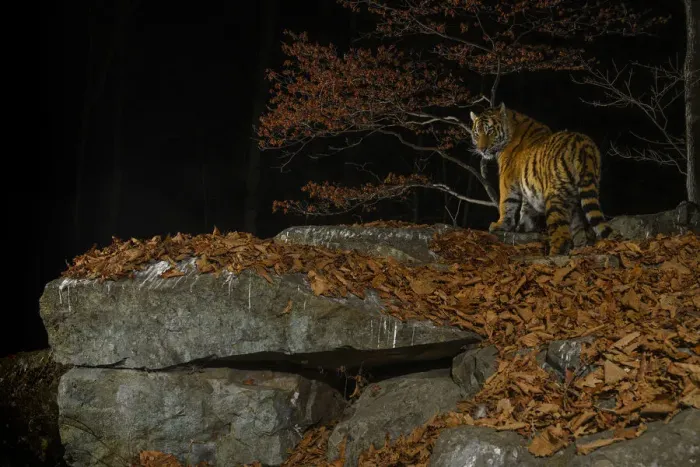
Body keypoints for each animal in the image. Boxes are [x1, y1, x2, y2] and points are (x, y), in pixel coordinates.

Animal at [469, 103, 613, 255]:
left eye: (490, 131)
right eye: (477, 134)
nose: (482, 149)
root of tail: (583, 146)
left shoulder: (507, 180)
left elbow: (507, 203)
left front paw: (500, 225)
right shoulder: (529, 185)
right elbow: (526, 209)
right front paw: (524, 228)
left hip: (555, 196)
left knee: (562, 235)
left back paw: (554, 254)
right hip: (581, 196)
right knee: (581, 230)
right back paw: (579, 249)